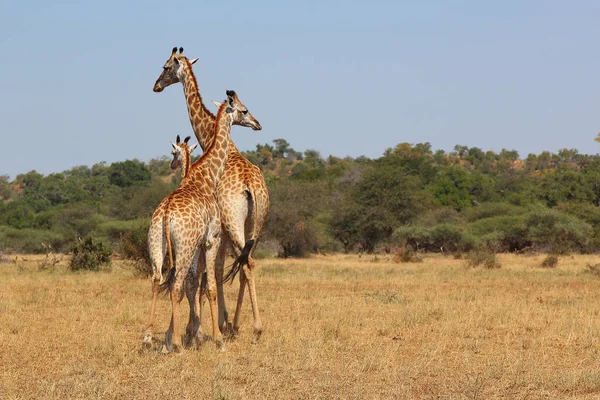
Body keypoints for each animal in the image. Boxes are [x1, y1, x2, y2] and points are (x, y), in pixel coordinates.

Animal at [154, 47, 268, 344]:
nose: (156, 85)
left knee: (245, 264)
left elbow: (207, 274)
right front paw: (220, 325)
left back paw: (253, 329)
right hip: (256, 224)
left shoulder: (218, 230)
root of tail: (251, 185)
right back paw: (241, 326)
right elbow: (215, 272)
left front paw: (203, 328)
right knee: (248, 264)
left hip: (234, 222)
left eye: (166, 66)